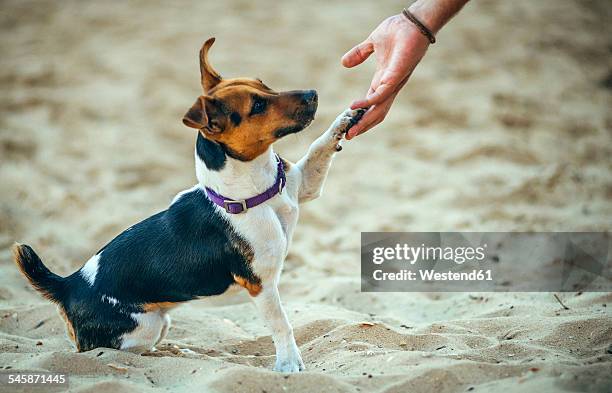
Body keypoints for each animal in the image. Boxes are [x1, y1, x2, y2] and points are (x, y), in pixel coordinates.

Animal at [14, 36, 364, 370]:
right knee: (122, 351)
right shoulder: (261, 285)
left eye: (264, 84)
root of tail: (69, 284)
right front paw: (289, 364)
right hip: (144, 326)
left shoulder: (303, 186)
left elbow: (319, 147)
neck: (254, 192)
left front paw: (346, 119)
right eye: (258, 105)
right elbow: (282, 325)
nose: (313, 93)